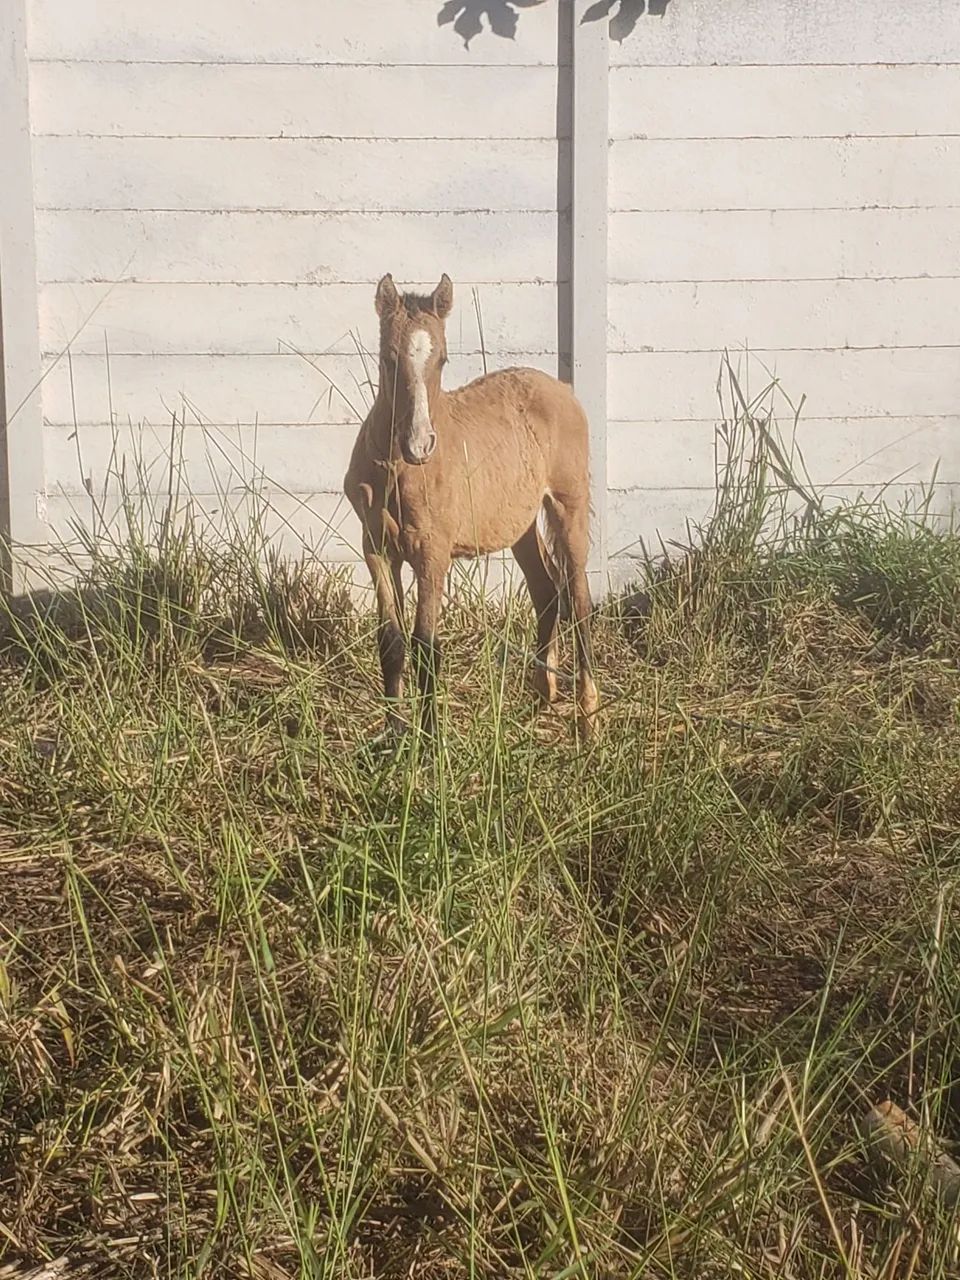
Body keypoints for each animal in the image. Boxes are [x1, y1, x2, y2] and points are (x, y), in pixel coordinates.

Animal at [343, 272, 598, 741]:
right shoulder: (377, 550)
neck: (396, 473)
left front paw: (429, 742)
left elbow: (427, 645)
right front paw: (393, 736)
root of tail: (562, 388)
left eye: (443, 360)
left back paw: (588, 717)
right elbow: (390, 641)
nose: (419, 444)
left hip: (568, 506)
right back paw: (539, 697)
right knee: (547, 591)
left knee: (579, 599)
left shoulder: (433, 553)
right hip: (519, 525)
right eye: (389, 359)